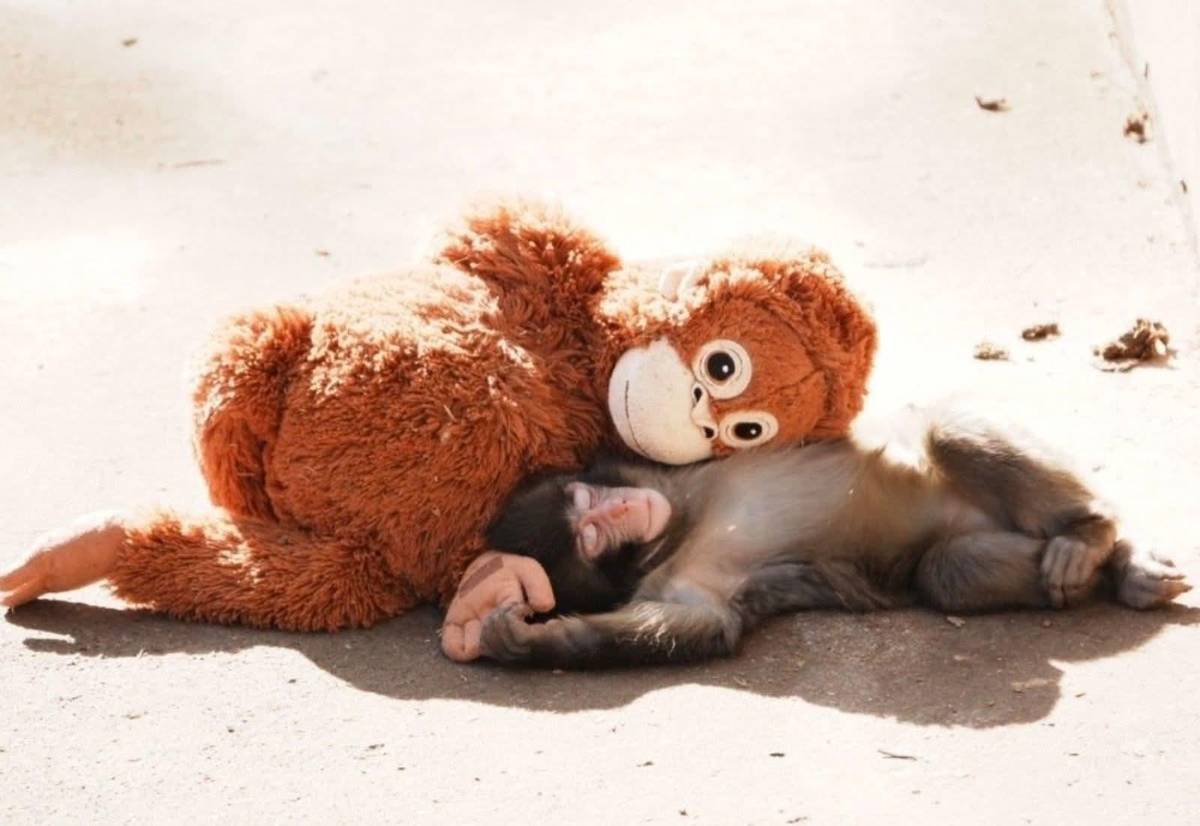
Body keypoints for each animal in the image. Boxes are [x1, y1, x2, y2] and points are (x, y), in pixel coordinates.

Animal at [478, 404, 1191, 668]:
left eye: (591, 502)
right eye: (591, 534)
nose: (626, 507)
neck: (679, 525)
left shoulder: (656, 467)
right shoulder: (677, 583)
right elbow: (705, 625)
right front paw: (532, 641)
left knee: (943, 431)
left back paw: (1095, 533)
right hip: (970, 541)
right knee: (946, 571)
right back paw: (1105, 561)